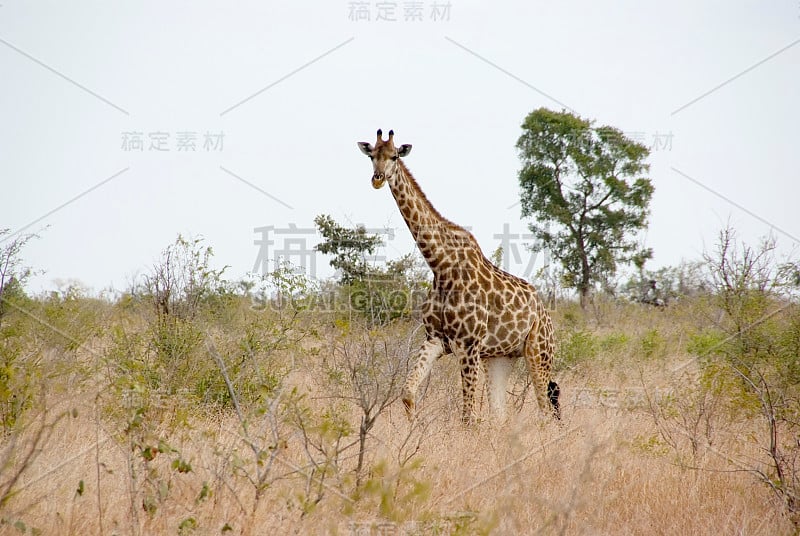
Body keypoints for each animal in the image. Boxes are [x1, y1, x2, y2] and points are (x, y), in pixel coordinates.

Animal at [360, 129, 560, 422]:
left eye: (395, 156)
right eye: (372, 155)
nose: (377, 178)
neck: (441, 267)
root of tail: (544, 312)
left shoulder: (469, 345)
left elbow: (468, 417)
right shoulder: (436, 339)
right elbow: (408, 393)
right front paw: (414, 429)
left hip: (539, 351)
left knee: (545, 410)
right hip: (500, 357)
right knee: (501, 415)